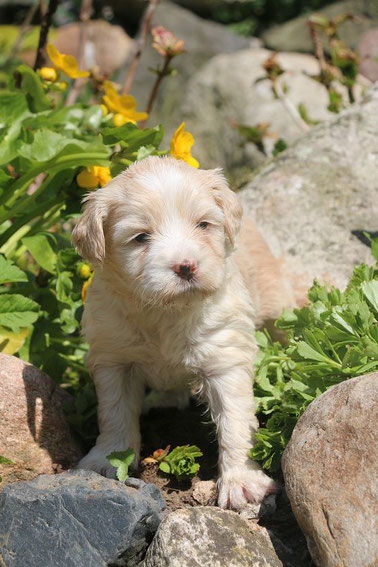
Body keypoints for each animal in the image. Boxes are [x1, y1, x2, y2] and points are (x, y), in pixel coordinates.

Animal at [72, 154, 294, 510]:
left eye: (203, 225)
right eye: (141, 237)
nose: (186, 266)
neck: (165, 311)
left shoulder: (224, 356)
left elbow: (235, 421)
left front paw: (241, 481)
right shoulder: (114, 357)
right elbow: (114, 412)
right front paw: (109, 457)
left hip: (277, 302)